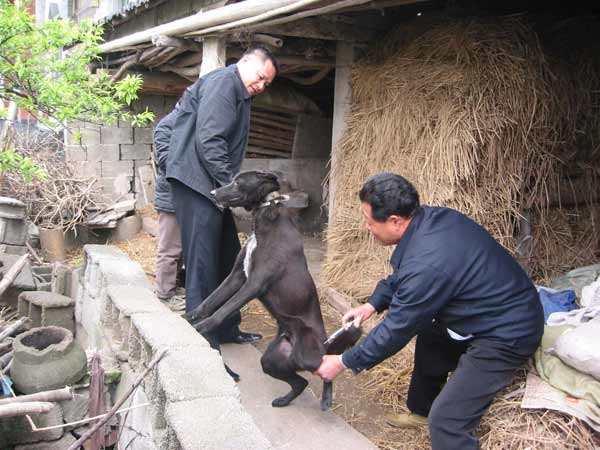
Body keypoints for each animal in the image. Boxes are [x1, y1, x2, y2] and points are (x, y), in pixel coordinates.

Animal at [184, 171, 360, 410]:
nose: (212, 192)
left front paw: (201, 327)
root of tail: (323, 342)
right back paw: (284, 400)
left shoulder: (254, 283)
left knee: (327, 368)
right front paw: (187, 317)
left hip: (308, 355)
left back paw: (326, 398)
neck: (266, 219)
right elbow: (209, 301)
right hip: (270, 360)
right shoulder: (237, 277)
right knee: (301, 382)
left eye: (238, 182)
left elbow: (222, 310)